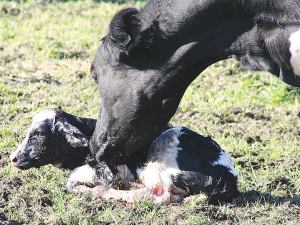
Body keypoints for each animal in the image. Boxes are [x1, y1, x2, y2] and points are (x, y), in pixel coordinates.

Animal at [10, 108, 238, 205]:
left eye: (39, 133)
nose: (13, 158)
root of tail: (229, 177)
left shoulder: (111, 172)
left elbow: (72, 180)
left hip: (160, 163)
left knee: (159, 195)